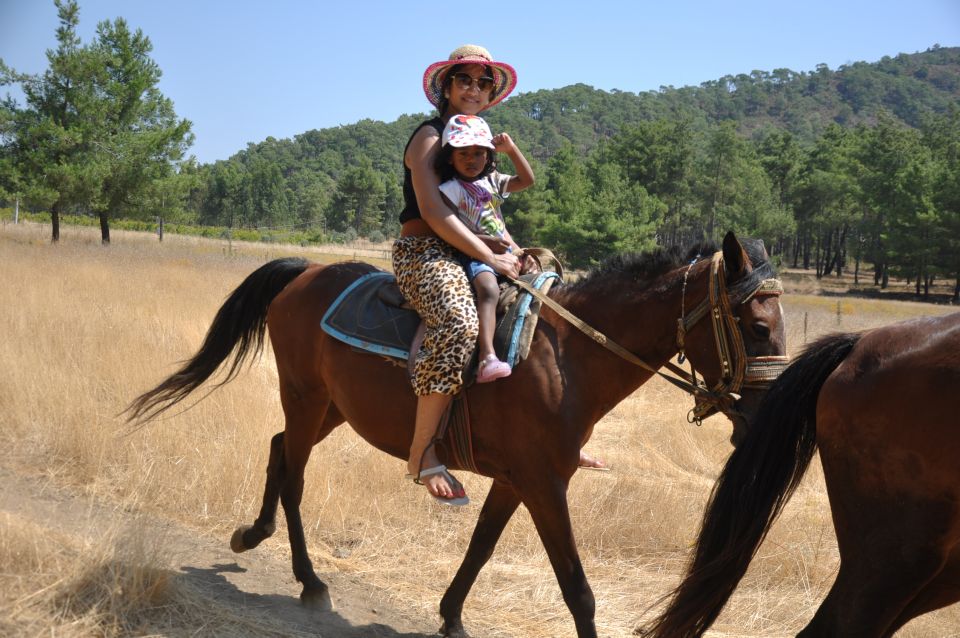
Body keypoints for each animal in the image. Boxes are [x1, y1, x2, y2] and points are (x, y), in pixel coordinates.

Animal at [127, 232, 788, 636]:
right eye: (758, 327)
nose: (765, 413)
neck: (567, 359)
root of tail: (308, 271)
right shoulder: (545, 485)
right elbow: (577, 587)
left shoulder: (517, 482)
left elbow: (481, 549)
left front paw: (450, 615)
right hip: (306, 397)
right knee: (293, 475)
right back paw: (309, 580)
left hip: (331, 407)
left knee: (276, 451)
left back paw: (251, 534)